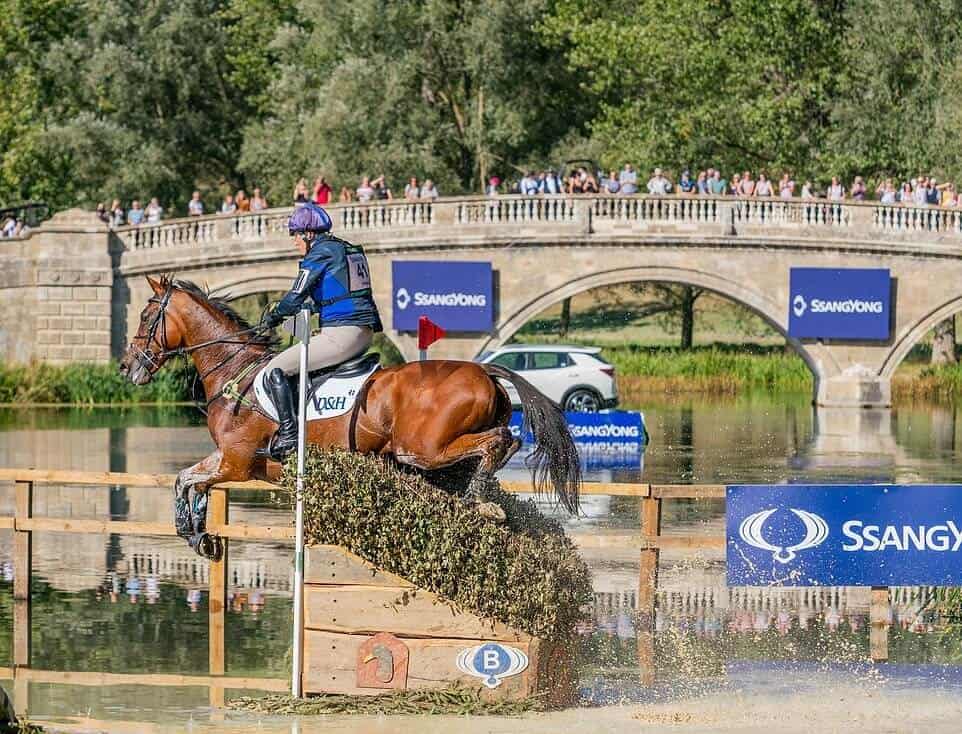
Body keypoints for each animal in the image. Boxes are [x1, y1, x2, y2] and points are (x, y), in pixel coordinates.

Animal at [121, 278, 584, 560]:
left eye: (146, 317)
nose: (128, 367)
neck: (237, 372)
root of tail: (484, 369)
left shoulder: (236, 462)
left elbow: (189, 480)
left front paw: (195, 531)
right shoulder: (234, 463)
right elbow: (185, 480)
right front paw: (196, 532)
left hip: (421, 448)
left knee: (499, 439)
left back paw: (477, 498)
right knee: (507, 440)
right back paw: (481, 495)